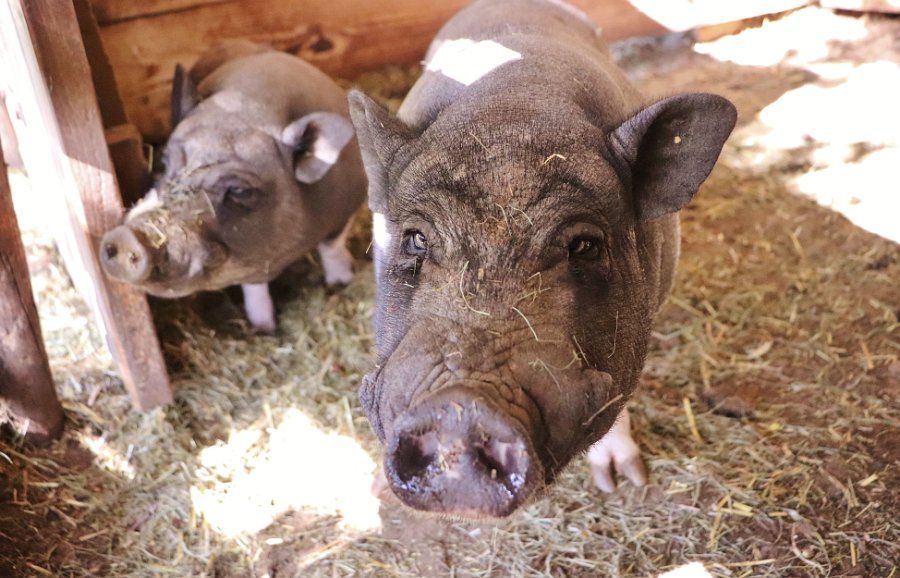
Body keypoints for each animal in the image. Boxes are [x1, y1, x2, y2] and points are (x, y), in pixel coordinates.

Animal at [100, 40, 364, 330]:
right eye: (164, 162)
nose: (125, 236)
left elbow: (332, 245)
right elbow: (254, 287)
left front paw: (341, 281)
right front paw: (264, 329)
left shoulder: (351, 201)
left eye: (239, 190)